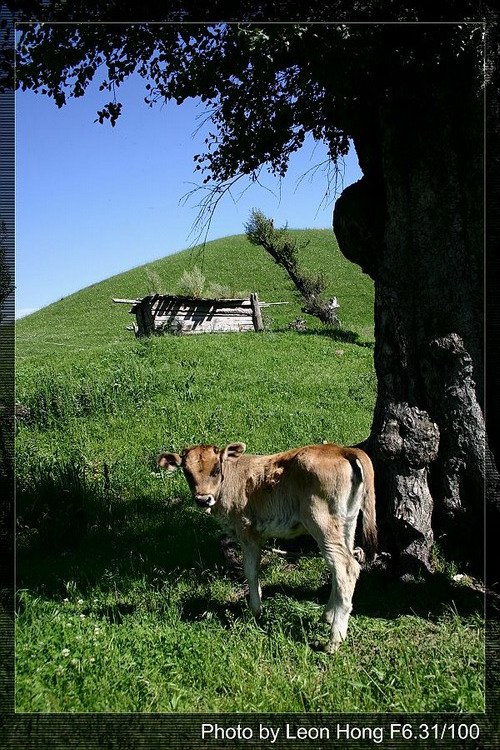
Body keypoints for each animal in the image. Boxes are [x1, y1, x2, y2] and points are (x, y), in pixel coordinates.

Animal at [158, 444, 376, 656]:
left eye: (216, 469)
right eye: (187, 472)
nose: (203, 499)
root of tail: (341, 449)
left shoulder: (247, 532)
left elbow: (250, 571)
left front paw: (255, 611)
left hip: (322, 523)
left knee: (346, 568)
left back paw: (334, 640)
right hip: (347, 523)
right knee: (339, 567)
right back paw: (327, 615)